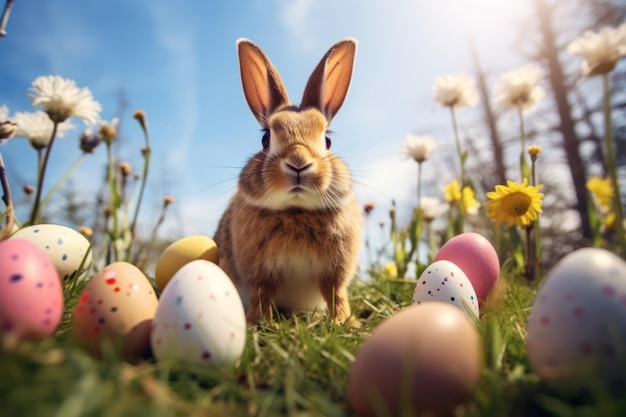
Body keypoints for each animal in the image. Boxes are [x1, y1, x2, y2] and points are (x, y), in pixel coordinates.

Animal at [214, 38, 360, 324]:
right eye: (265, 139)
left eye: (327, 140)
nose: (298, 163)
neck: (296, 210)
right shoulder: (260, 273)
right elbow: (262, 294)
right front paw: (260, 323)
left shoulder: (335, 272)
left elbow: (336, 294)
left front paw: (344, 322)